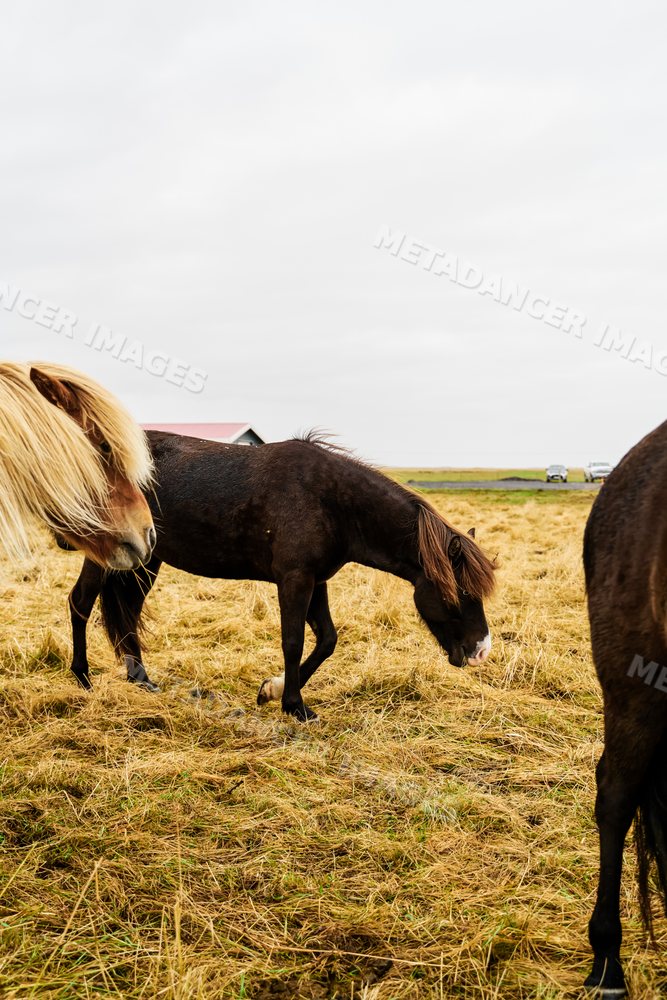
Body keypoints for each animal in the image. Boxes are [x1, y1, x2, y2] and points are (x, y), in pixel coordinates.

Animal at [64, 430, 496, 720]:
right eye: (458, 592)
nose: (481, 651)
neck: (332, 503)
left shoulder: (316, 580)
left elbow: (327, 640)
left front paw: (271, 691)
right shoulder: (295, 579)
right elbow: (293, 642)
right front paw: (294, 705)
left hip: (146, 560)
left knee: (128, 615)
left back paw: (141, 679)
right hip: (108, 553)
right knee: (81, 603)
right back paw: (82, 679)